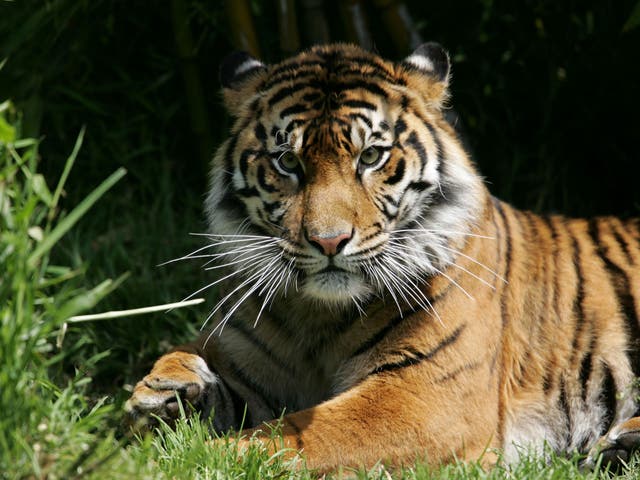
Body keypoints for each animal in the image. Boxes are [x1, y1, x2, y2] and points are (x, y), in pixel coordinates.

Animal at [124, 42, 640, 473]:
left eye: (370, 156)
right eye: (288, 162)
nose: (329, 241)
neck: (315, 317)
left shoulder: (422, 397)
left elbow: (287, 437)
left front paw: (184, 461)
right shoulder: (247, 360)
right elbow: (196, 362)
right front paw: (163, 391)